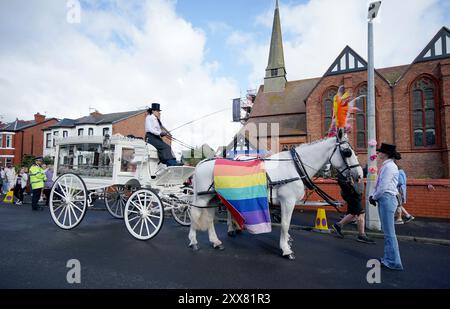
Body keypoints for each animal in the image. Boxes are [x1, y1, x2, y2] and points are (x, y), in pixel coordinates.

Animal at [187, 131, 362, 260]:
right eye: (347, 152)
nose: (359, 174)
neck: (294, 166)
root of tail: (200, 164)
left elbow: (286, 224)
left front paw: (287, 242)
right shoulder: (287, 201)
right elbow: (285, 224)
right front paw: (286, 249)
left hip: (212, 197)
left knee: (209, 218)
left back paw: (216, 241)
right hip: (202, 197)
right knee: (194, 214)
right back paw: (194, 241)